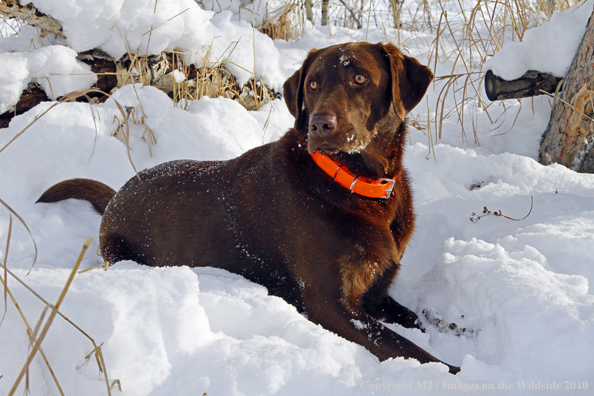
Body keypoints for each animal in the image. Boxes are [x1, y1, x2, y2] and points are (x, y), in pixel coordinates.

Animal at [38, 41, 458, 372]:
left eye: (359, 79)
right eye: (313, 84)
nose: (319, 125)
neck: (355, 184)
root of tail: (117, 194)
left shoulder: (375, 291)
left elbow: (416, 322)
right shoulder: (329, 304)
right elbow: (406, 347)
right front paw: (454, 370)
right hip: (120, 251)